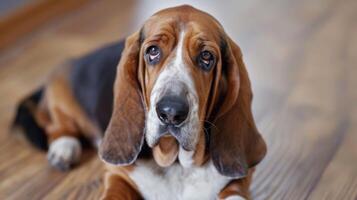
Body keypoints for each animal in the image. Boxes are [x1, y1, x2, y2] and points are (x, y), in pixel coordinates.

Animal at [14, 5, 264, 200]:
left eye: (206, 57)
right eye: (153, 51)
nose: (171, 112)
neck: (175, 163)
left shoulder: (240, 179)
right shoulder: (117, 176)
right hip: (62, 100)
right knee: (56, 126)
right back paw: (64, 148)